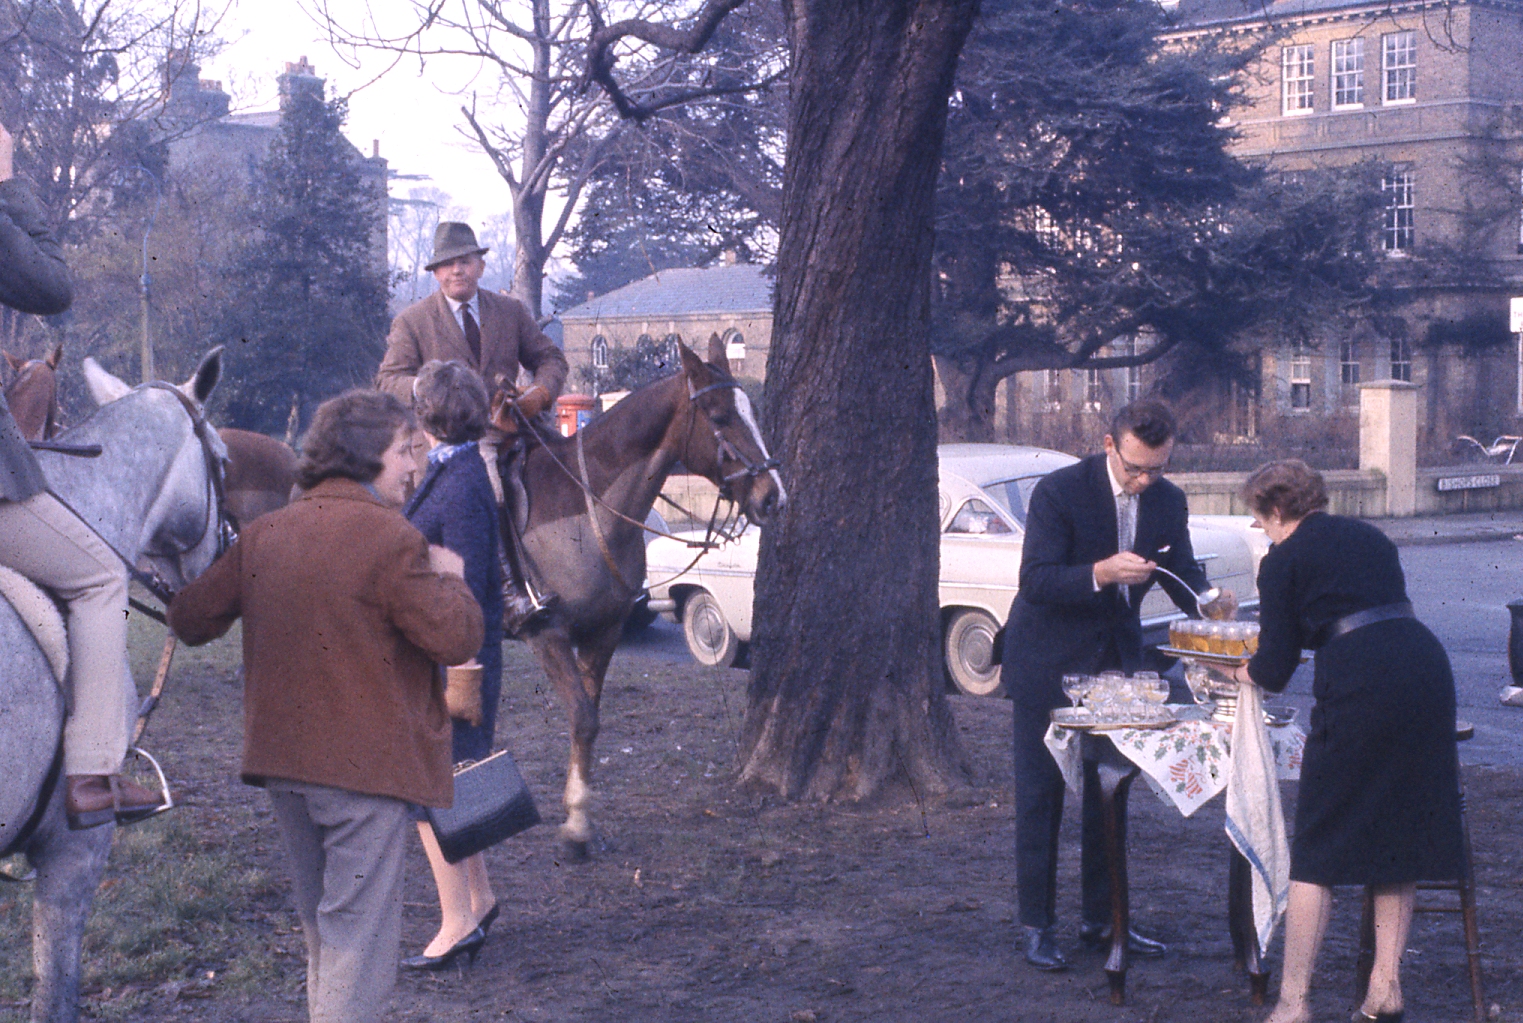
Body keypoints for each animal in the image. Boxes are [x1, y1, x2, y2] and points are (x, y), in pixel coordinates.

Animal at [520, 339, 785, 858]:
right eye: (720, 415)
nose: (773, 496)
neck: (586, 513)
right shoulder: (548, 633)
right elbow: (581, 716)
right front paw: (574, 825)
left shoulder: (602, 632)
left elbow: (590, 720)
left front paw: (579, 819)